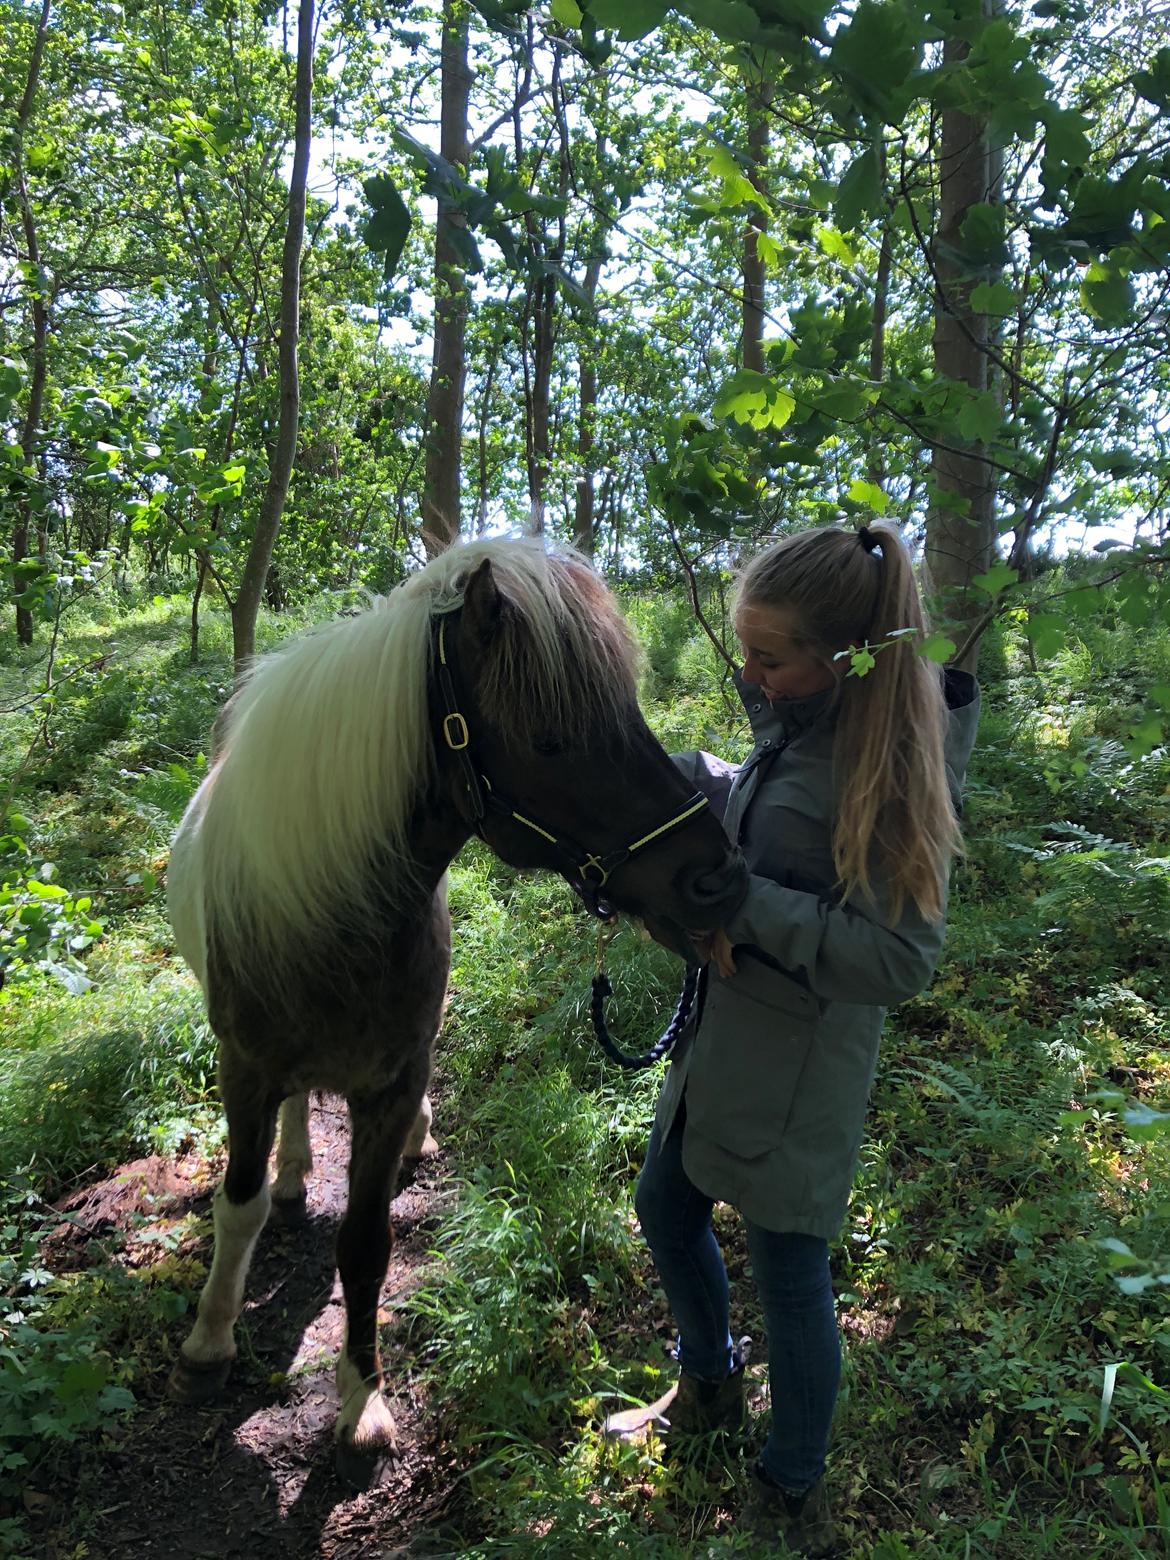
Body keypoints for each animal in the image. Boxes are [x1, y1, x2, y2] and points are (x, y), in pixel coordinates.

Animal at [166, 536, 745, 1472]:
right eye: (550, 741)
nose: (717, 879)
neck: (331, 916)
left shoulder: (393, 1080)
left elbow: (366, 1245)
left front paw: (361, 1403)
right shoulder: (242, 1070)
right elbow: (238, 1203)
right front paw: (208, 1344)